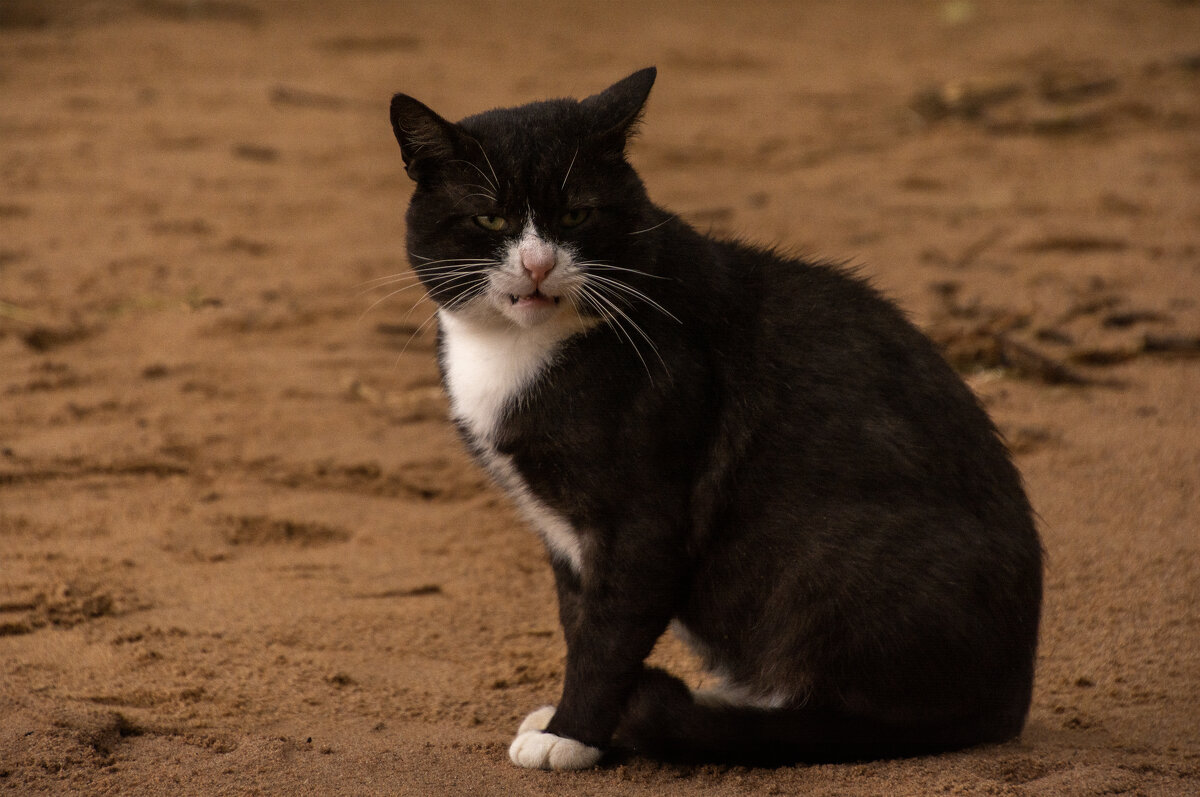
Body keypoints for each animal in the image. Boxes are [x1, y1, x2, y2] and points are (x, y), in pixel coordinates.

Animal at [386, 68, 1041, 772]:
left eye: (576, 214)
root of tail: (1009, 702)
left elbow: (608, 633)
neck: (516, 352)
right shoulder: (562, 532)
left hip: (833, 560)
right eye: (491, 217)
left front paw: (573, 733)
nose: (537, 264)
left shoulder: (643, 513)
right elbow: (578, 618)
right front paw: (579, 721)